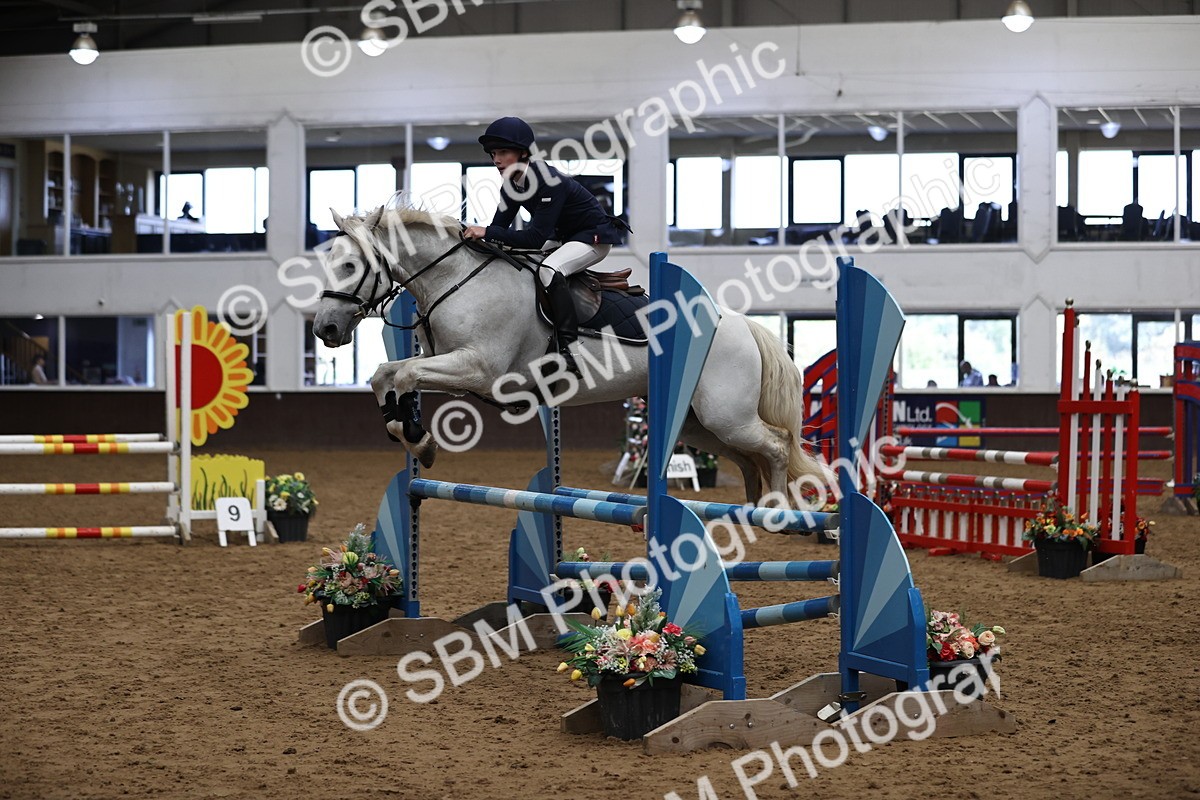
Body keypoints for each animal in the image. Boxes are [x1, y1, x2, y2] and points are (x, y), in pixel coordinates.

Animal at [311, 206, 828, 504]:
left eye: (352, 264)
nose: (325, 329)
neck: (456, 278)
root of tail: (737, 322)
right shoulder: (449, 364)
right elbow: (386, 375)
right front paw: (410, 434)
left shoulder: (477, 369)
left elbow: (401, 375)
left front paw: (422, 441)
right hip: (700, 425)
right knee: (748, 458)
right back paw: (749, 511)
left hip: (725, 415)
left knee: (777, 444)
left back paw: (776, 515)